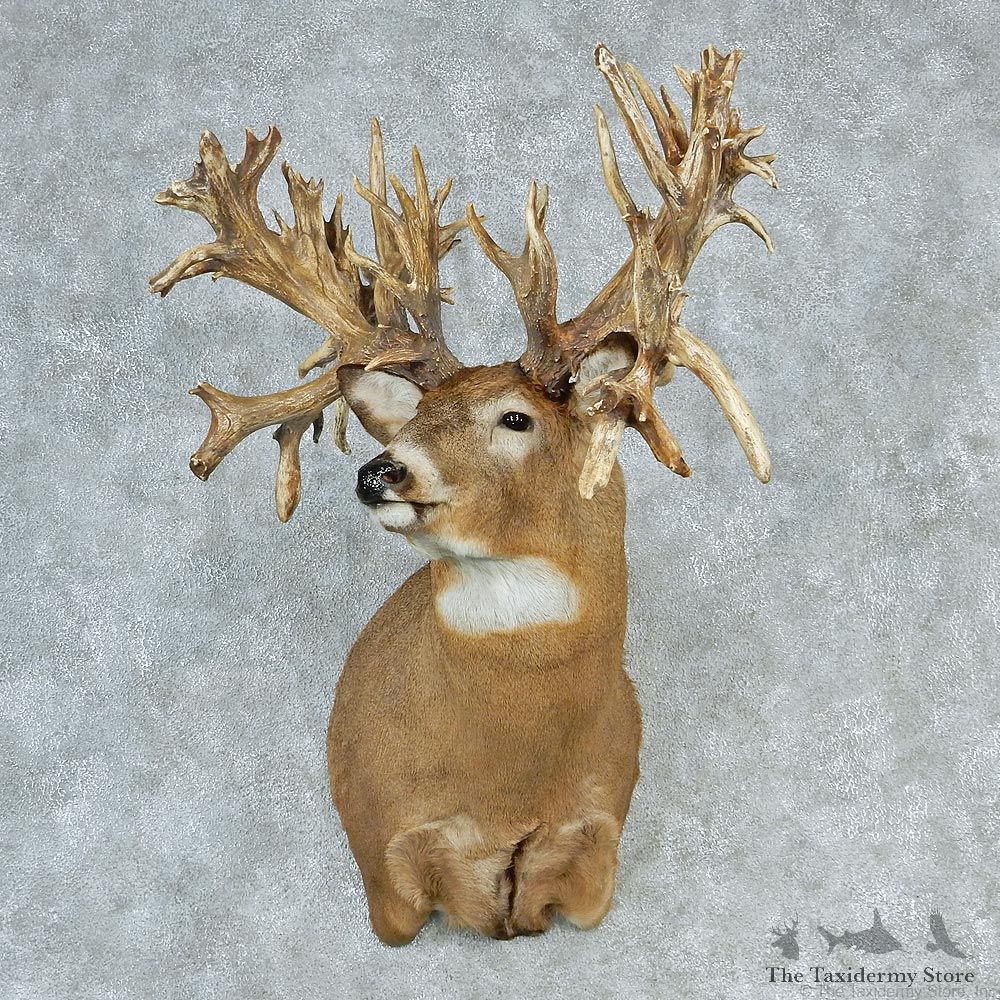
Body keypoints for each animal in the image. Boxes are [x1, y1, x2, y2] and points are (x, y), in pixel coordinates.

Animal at [150, 43, 777, 944]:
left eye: (516, 417)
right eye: (413, 418)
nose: (379, 470)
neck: (507, 783)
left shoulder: (595, 846)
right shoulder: (387, 862)